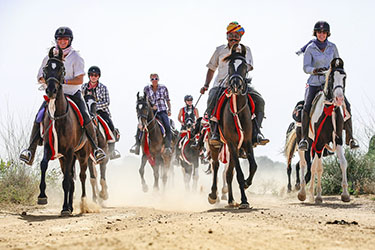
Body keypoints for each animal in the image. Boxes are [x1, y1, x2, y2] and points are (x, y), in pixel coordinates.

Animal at [39, 47, 94, 215]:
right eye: (46, 68)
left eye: (61, 69)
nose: (51, 90)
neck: (58, 116)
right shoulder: (50, 147)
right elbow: (43, 165)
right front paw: (42, 196)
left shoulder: (70, 151)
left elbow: (66, 182)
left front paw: (65, 208)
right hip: (64, 158)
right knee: (71, 177)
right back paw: (70, 205)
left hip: (82, 155)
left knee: (81, 177)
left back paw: (83, 204)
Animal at [207, 43, 258, 209]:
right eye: (230, 65)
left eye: (244, 66)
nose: (236, 84)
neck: (237, 111)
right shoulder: (231, 143)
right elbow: (240, 174)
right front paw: (244, 200)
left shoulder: (246, 142)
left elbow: (253, 166)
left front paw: (247, 185)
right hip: (217, 145)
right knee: (216, 165)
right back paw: (213, 195)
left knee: (229, 173)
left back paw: (230, 200)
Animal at [298, 58, 352, 203]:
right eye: (332, 77)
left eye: (344, 77)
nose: (339, 99)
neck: (328, 109)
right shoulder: (319, 142)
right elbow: (318, 168)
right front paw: (318, 196)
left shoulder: (337, 139)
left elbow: (343, 163)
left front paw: (345, 194)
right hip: (306, 144)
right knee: (304, 164)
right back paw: (303, 193)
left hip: (317, 145)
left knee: (312, 166)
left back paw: (311, 194)